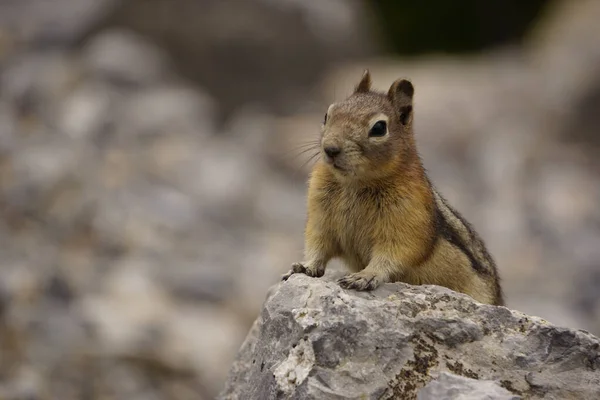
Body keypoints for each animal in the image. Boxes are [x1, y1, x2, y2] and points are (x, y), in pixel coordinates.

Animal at [284, 69, 504, 306]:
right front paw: (304, 266)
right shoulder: (320, 216)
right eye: (327, 114)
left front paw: (365, 275)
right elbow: (318, 244)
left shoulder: (406, 219)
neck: (354, 183)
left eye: (379, 128)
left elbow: (393, 253)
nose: (330, 149)